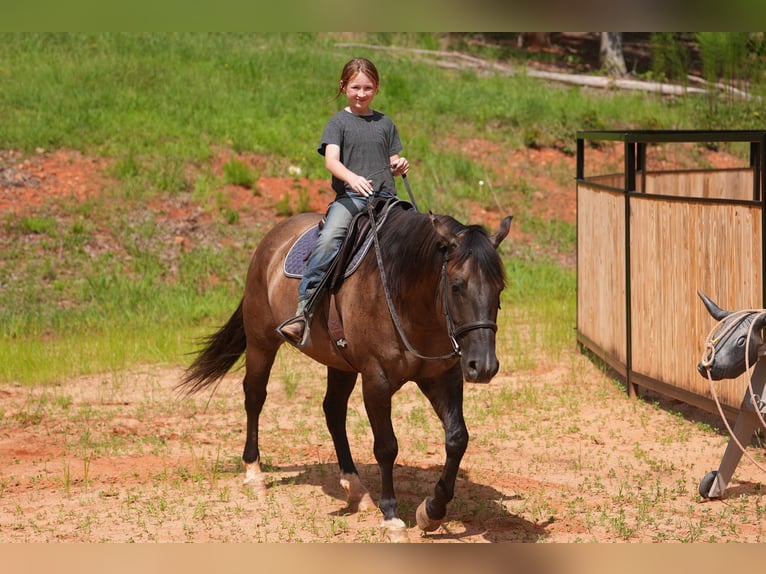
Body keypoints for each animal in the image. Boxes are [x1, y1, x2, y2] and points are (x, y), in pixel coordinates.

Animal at [178, 199, 512, 541]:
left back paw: (355, 488)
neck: (403, 295)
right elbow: (386, 447)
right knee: (255, 397)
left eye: (499, 287)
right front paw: (392, 517)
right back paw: (254, 474)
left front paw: (431, 511)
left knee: (333, 410)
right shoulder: (376, 380)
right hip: (261, 342)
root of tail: (272, 239)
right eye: (457, 286)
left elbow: (457, 439)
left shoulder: (443, 377)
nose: (484, 366)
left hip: (340, 363)